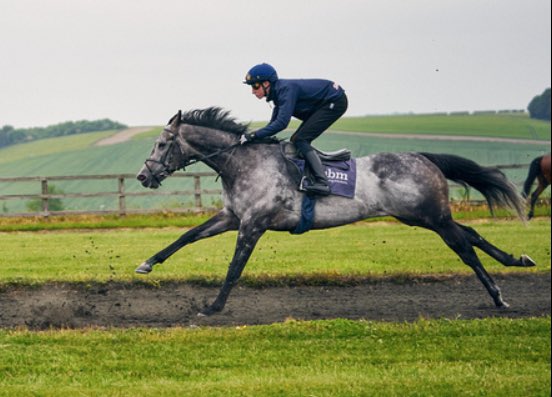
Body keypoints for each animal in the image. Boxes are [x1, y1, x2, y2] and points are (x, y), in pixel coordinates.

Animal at [136, 106, 536, 316]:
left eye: (162, 144)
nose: (143, 175)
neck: (244, 162)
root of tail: (424, 157)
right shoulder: (233, 217)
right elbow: (187, 236)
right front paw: (147, 263)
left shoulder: (253, 224)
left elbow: (235, 267)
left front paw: (214, 306)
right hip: (424, 216)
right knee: (472, 234)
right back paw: (517, 259)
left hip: (429, 216)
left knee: (464, 247)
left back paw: (498, 296)